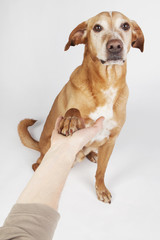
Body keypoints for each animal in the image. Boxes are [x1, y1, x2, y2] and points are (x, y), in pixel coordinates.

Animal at [18, 11, 144, 202]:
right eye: (97, 27)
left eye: (125, 26)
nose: (115, 46)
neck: (107, 83)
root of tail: (40, 145)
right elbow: (74, 109)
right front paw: (71, 119)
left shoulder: (111, 140)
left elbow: (101, 171)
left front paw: (101, 189)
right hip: (57, 154)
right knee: (37, 164)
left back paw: (91, 154)